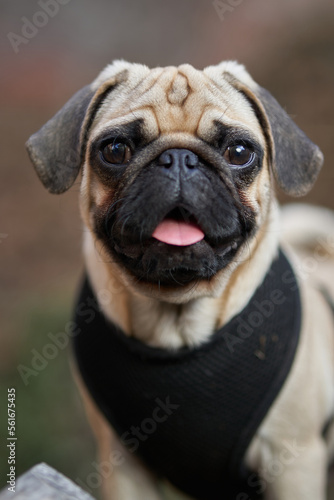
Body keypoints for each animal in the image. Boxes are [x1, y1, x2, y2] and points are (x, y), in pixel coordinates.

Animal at [26, 61, 334, 500]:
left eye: (239, 152)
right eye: (115, 150)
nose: (178, 158)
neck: (175, 320)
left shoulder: (294, 462)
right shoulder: (123, 465)